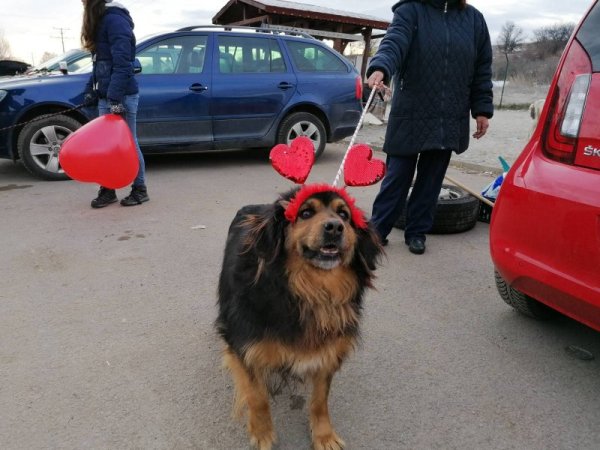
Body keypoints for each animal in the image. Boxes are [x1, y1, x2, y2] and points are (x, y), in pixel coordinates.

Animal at [218, 184, 382, 450]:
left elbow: (320, 400)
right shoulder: (247, 346)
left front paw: (324, 435)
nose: (335, 227)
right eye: (305, 213)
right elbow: (257, 395)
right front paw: (262, 433)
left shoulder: (327, 351)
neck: (306, 291)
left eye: (344, 215)